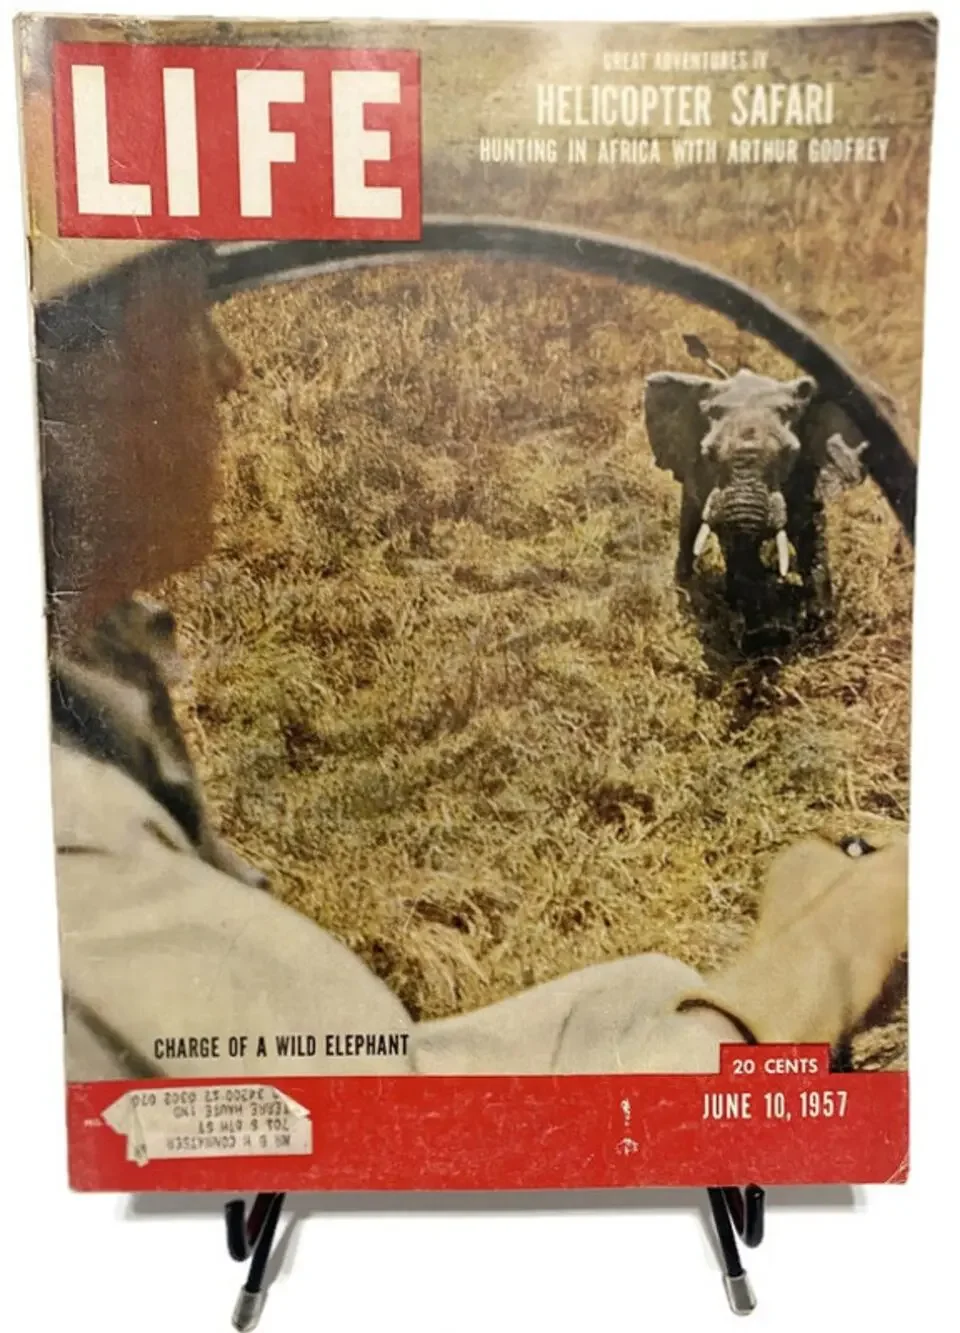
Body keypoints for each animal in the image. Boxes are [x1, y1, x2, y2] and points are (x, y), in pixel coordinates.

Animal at [643, 366, 869, 627]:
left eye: (789, 454)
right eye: (708, 454)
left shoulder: (806, 473)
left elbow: (810, 531)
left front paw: (817, 618)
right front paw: (754, 618)